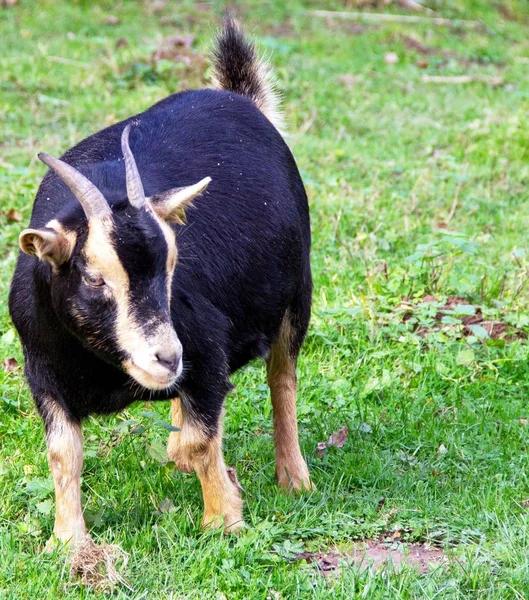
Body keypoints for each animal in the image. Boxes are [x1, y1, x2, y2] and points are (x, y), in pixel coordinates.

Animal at [8, 18, 312, 548]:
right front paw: (68, 542)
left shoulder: (207, 352)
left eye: (172, 264)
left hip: (296, 294)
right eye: (94, 277)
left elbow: (200, 437)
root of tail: (240, 99)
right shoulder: (41, 371)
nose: (166, 356)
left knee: (282, 378)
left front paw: (224, 518)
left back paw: (293, 477)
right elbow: (64, 453)